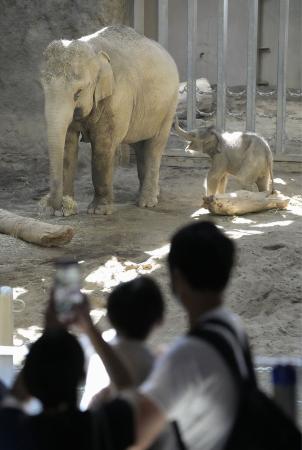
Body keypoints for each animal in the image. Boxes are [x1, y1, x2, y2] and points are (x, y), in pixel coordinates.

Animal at [41, 25, 180, 215]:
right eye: (43, 88)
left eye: (78, 92)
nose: (52, 206)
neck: (94, 51)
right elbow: (68, 146)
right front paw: (65, 210)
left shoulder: (118, 97)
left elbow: (102, 146)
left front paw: (98, 211)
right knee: (140, 146)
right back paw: (147, 195)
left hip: (168, 107)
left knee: (154, 146)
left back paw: (146, 202)